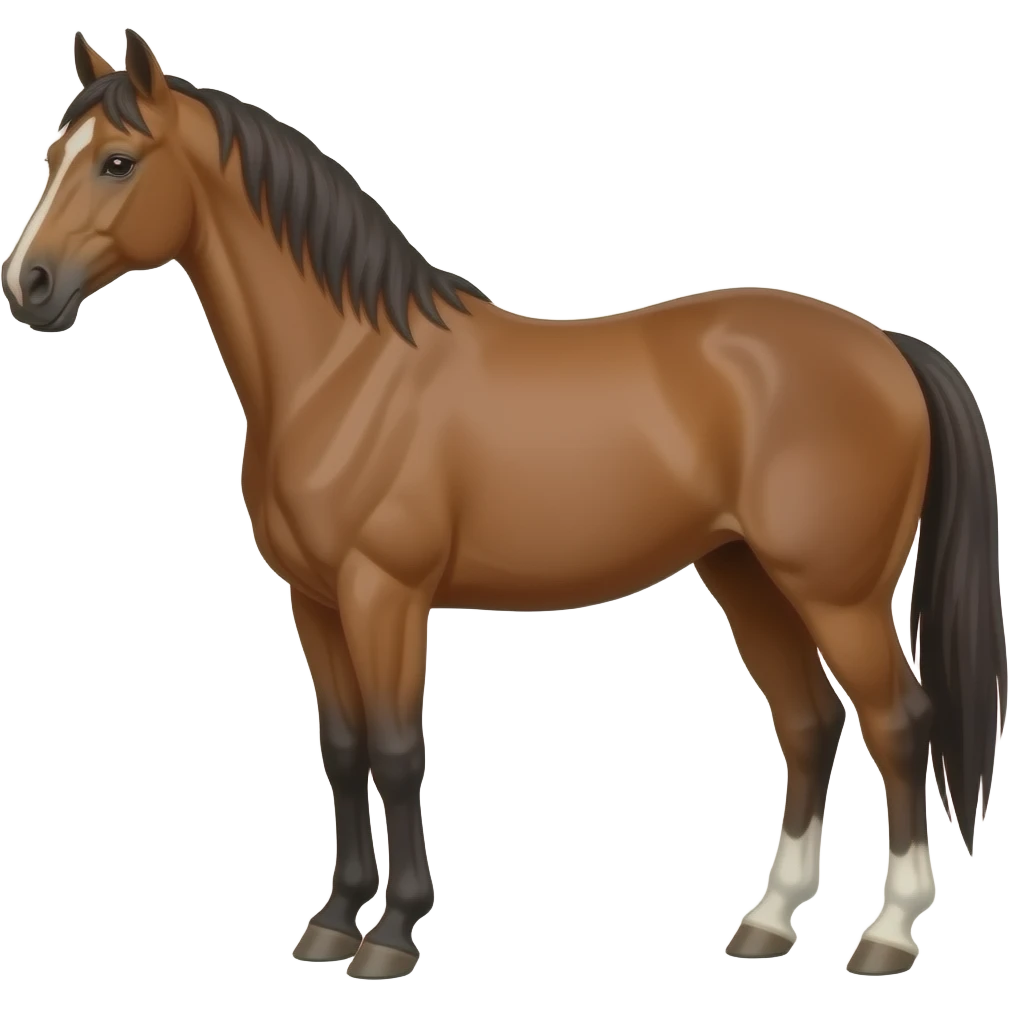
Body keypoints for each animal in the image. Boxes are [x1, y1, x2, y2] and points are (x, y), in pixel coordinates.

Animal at [2, 29, 1003, 981]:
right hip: (746, 576)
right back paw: (767, 920)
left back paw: (888, 933)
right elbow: (343, 748)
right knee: (807, 724)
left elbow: (398, 751)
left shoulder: (384, 594)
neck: (345, 369)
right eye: (53, 154)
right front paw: (332, 920)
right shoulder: (315, 600)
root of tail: (886, 345)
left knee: (898, 724)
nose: (28, 285)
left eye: (117, 161)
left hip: (838, 594)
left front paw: (391, 933)